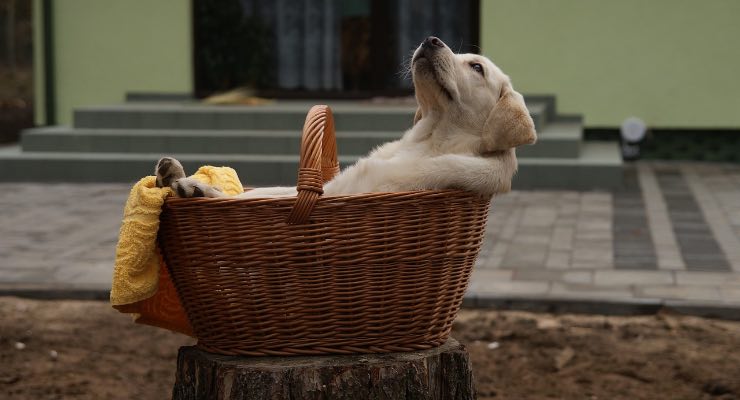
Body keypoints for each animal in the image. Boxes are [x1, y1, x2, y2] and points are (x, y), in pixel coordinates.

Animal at [158, 36, 536, 199]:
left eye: (477, 67)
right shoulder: (324, 187)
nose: (431, 39)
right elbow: (257, 194)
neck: (428, 140)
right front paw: (190, 182)